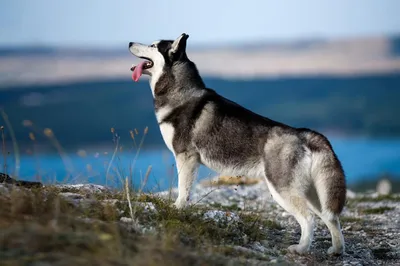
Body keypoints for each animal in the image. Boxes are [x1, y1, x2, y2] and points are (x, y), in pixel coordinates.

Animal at [129, 33, 346, 256]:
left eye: (153, 45)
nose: (129, 43)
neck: (181, 92)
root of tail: (303, 134)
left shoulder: (186, 157)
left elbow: (183, 189)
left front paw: (178, 208)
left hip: (282, 189)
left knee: (309, 218)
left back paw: (301, 248)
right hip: (314, 193)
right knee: (331, 217)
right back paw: (336, 249)